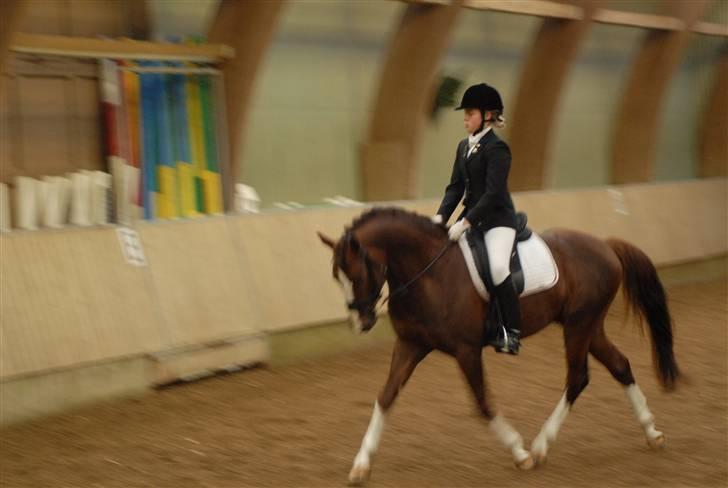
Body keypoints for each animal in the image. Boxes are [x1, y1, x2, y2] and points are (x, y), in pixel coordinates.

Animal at [317, 206, 680, 485]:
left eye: (355, 273)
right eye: (337, 276)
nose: (360, 323)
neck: (429, 274)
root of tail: (605, 245)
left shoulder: (466, 350)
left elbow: (482, 403)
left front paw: (519, 452)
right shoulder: (411, 344)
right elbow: (386, 396)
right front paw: (361, 464)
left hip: (579, 325)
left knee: (578, 378)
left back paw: (540, 447)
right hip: (589, 326)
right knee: (619, 365)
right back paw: (652, 432)